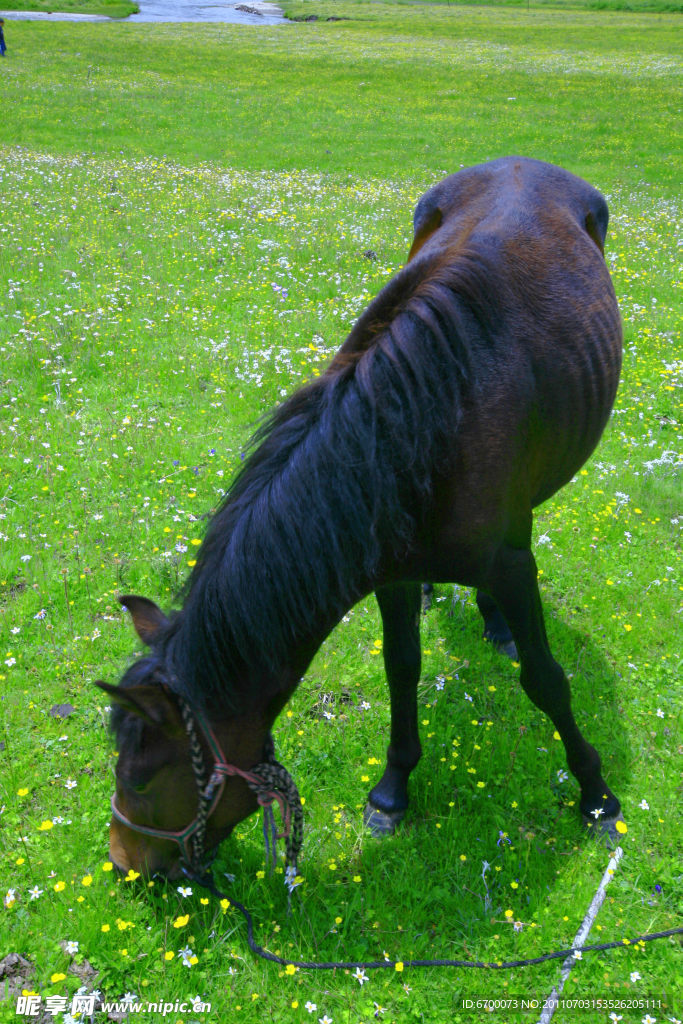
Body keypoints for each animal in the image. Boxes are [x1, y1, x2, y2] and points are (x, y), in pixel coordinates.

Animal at [97, 155, 626, 876]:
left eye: (143, 777)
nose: (123, 860)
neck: (423, 436)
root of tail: (521, 163)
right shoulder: (390, 574)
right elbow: (402, 668)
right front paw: (393, 790)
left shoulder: (512, 566)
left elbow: (545, 680)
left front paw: (595, 795)